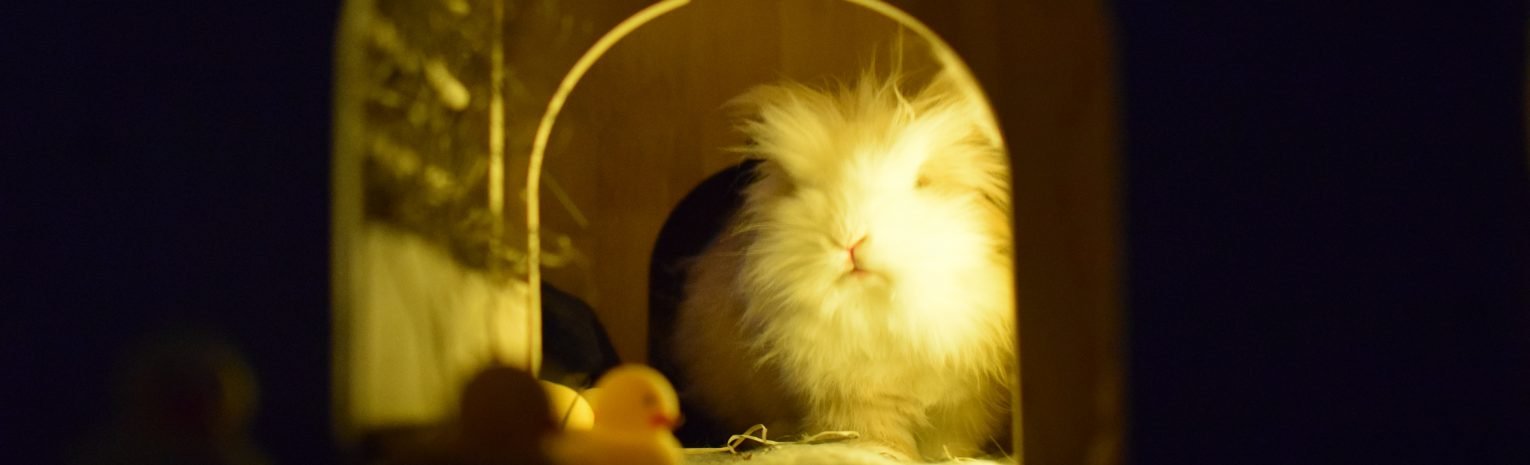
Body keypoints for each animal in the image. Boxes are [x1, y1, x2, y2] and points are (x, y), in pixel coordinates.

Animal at [670, 69, 1016, 461]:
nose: (849, 240)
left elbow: (948, 441)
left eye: (922, 182)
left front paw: (943, 458)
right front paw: (887, 456)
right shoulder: (855, 402)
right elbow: (877, 437)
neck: (881, 308)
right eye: (807, 187)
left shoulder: (962, 404)